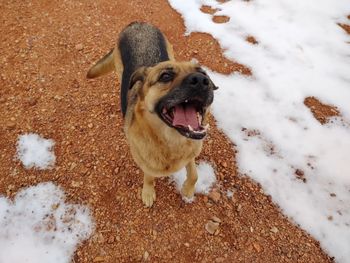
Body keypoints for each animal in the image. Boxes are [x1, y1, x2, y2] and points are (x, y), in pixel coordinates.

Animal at [86, 22, 217, 208]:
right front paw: (148, 192)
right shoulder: (145, 163)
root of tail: (137, 23)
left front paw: (187, 190)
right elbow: (149, 176)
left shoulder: (191, 153)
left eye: (204, 74)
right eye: (166, 76)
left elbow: (194, 174)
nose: (201, 80)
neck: (172, 142)